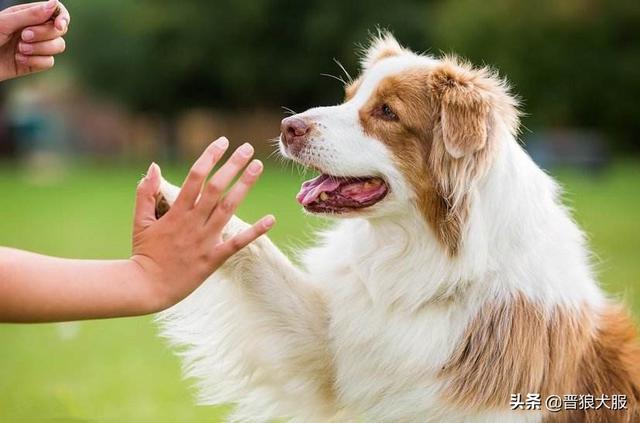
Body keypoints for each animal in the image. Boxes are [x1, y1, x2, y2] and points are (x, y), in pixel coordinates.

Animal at [155, 34, 640, 423]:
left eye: (387, 112)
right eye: (349, 97)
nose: (287, 126)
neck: (429, 262)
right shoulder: (334, 349)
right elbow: (260, 258)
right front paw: (182, 205)